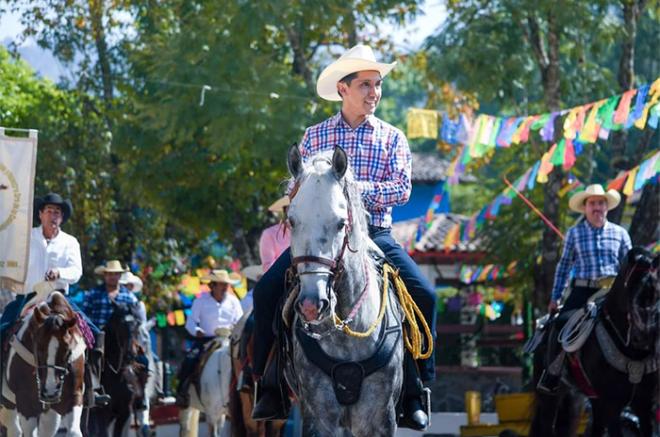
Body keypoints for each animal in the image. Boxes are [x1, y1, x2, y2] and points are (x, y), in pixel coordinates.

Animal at [0, 292, 86, 434]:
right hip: (8, 406)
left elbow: (74, 431)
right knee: (14, 429)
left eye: (67, 350)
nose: (50, 391)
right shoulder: (25, 403)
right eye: (38, 348)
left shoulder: (74, 397)